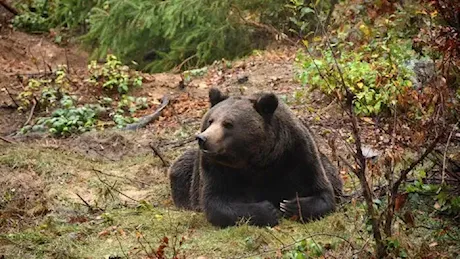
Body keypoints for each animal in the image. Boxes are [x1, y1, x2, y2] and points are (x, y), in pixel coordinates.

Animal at [168, 88, 342, 226]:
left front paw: (290, 205)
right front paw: (269, 210)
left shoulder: (297, 154)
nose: (203, 138)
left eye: (228, 124)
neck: (256, 160)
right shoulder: (215, 168)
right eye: (210, 120)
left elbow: (323, 192)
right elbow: (215, 202)